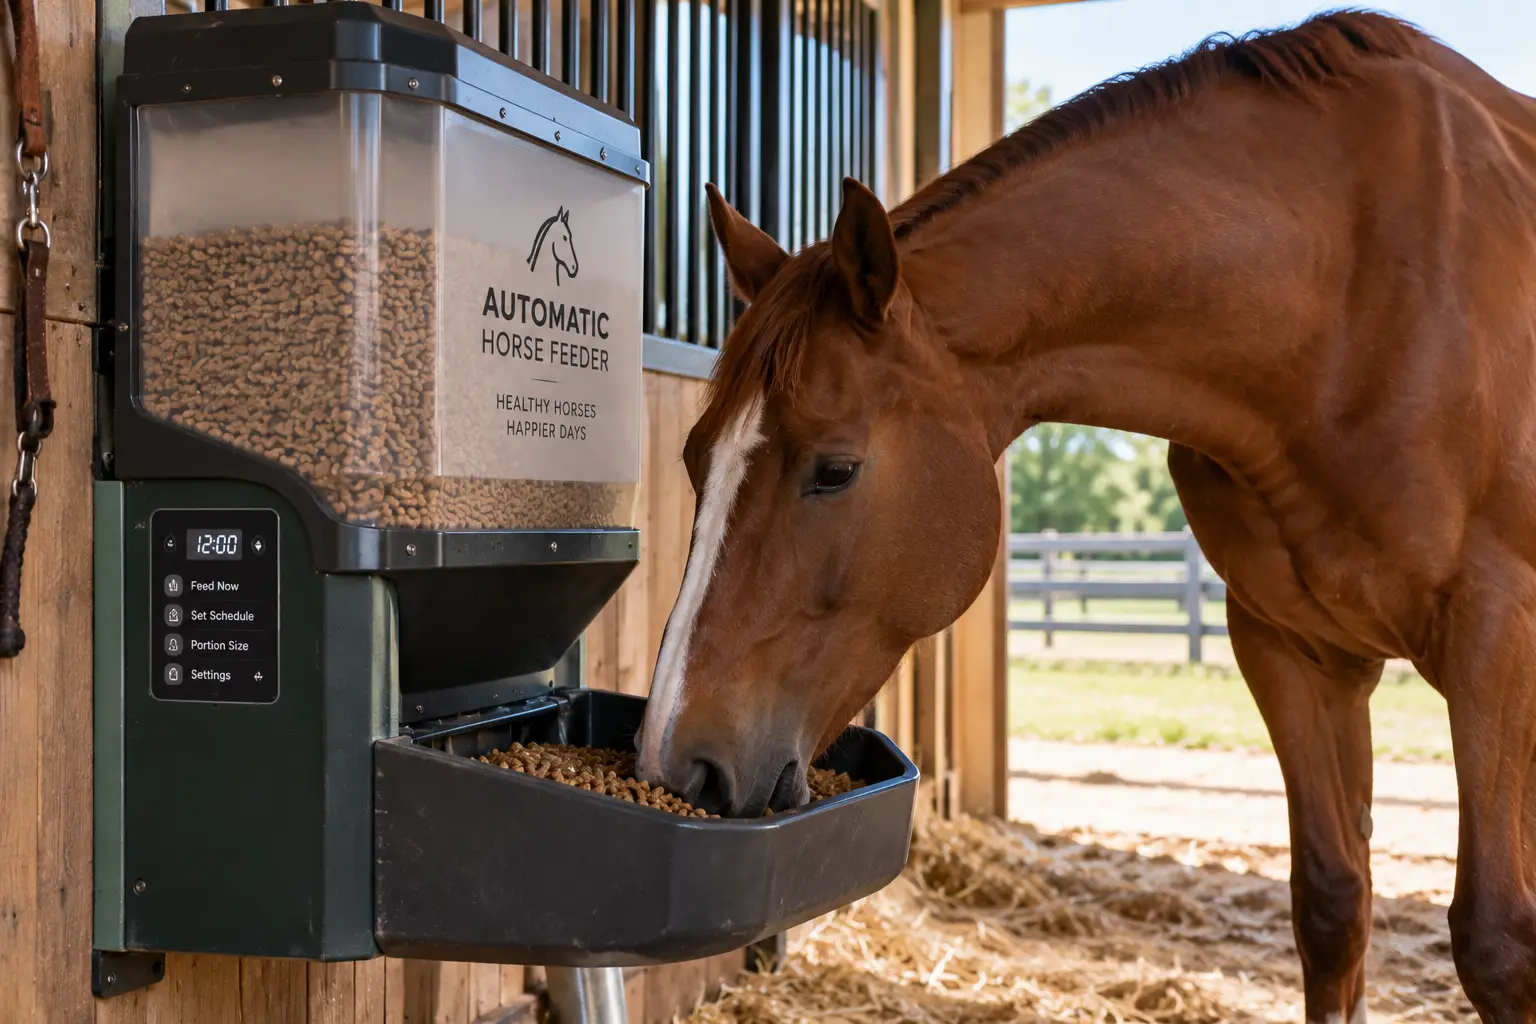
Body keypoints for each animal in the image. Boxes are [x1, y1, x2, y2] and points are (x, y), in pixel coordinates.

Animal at [633, 10, 1536, 1021]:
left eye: (835, 470)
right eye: (695, 456)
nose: (676, 763)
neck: (1351, 299)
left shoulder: (1496, 640)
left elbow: (1497, 940)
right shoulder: (1291, 649)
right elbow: (1335, 903)